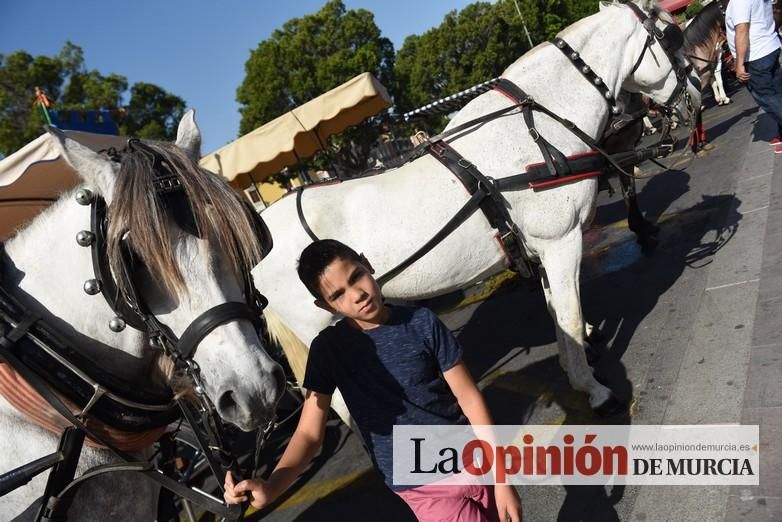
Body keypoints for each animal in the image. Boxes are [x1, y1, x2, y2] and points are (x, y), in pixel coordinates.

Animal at [258, 0, 704, 422]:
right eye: (669, 36)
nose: (699, 88)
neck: (535, 126)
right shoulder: (560, 241)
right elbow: (571, 318)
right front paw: (593, 390)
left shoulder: (541, 249)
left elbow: (558, 313)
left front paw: (577, 363)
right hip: (319, 327)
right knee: (337, 402)